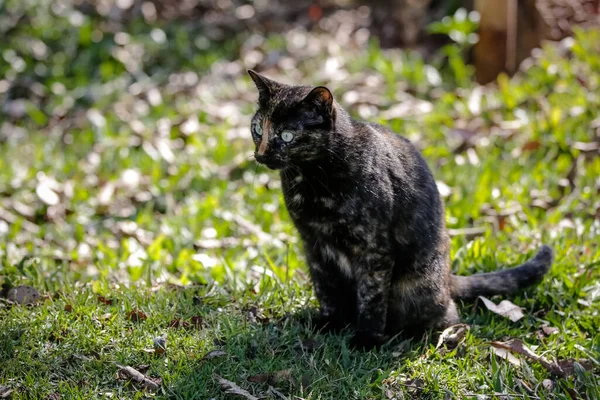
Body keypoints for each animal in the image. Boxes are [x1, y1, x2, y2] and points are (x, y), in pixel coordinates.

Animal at [245, 69, 552, 350]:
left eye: (287, 135)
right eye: (258, 129)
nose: (261, 154)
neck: (312, 182)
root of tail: (447, 279)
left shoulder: (374, 249)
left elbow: (371, 297)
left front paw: (366, 340)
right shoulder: (314, 245)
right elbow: (327, 288)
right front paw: (330, 323)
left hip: (417, 284)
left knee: (447, 314)